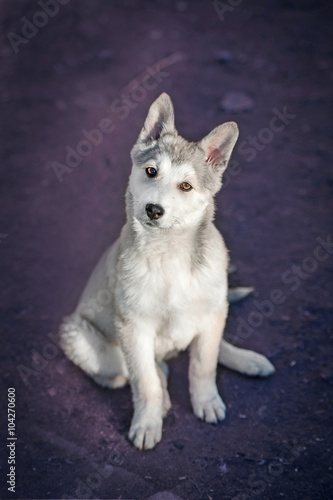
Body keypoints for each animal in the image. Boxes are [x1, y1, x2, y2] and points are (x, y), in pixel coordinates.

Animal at [60, 93, 274, 450]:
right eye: (151, 171)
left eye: (186, 186)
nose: (153, 210)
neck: (169, 254)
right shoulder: (133, 325)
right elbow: (144, 380)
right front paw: (148, 422)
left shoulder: (211, 310)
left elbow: (203, 364)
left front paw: (206, 401)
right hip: (79, 336)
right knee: (140, 369)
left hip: (214, 308)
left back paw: (248, 360)